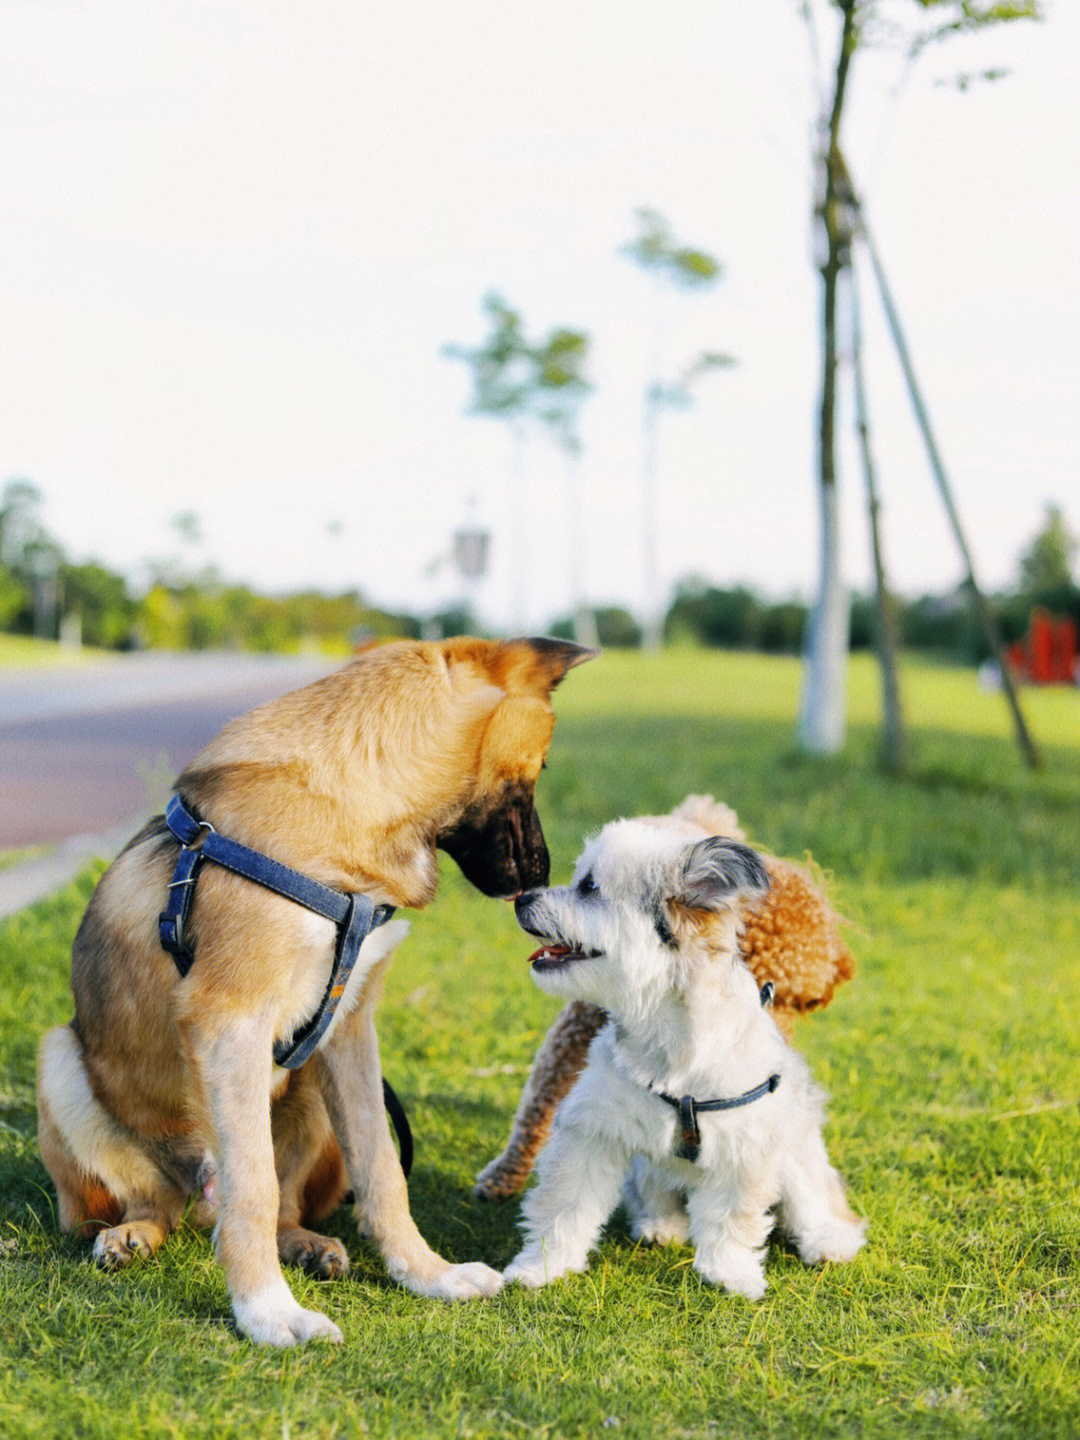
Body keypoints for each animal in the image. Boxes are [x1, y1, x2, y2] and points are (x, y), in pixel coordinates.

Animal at [36, 636, 593, 1342]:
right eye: (540, 767)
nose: (539, 879)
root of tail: (194, 1200)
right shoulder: (229, 1023)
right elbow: (252, 1188)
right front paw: (267, 1312)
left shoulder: (349, 1029)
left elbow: (381, 1171)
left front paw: (427, 1274)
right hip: (59, 1060)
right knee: (159, 1200)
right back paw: (133, 1233)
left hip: (311, 1093)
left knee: (285, 1205)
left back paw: (307, 1244)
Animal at [504, 817, 869, 1301]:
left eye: (589, 887)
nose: (521, 898)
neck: (667, 1033)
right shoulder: (594, 1132)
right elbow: (564, 1207)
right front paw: (541, 1266)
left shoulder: (744, 1150)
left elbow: (732, 1221)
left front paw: (730, 1274)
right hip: (646, 1168)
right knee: (655, 1192)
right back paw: (660, 1224)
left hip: (796, 1151)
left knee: (816, 1198)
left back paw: (831, 1240)